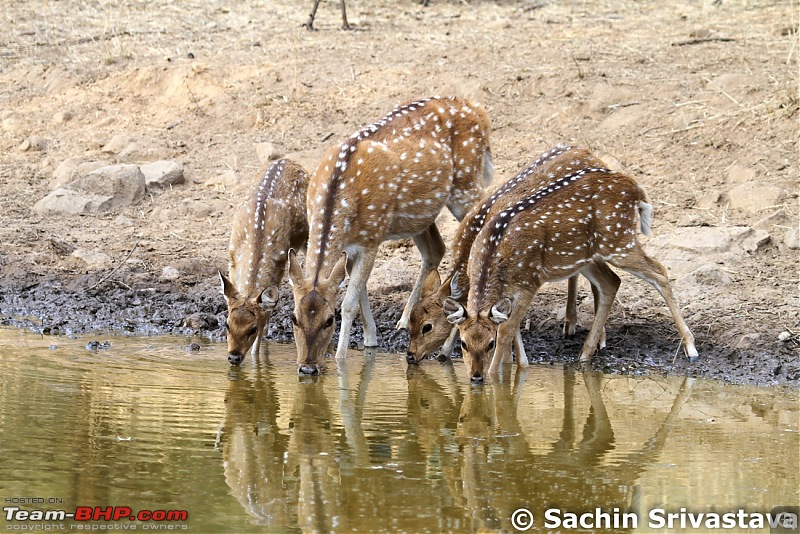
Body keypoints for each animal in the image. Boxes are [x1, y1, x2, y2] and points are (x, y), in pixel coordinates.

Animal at [220, 160, 310, 368]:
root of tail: (289, 161)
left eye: (252, 329)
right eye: (227, 324)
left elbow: (267, 313)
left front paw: (257, 359)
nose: (233, 357)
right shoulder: (232, 259)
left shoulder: (279, 266)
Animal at [284, 96, 490, 376]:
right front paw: (371, 339)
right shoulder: (354, 245)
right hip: (419, 215)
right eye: (293, 317)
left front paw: (340, 360)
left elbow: (350, 302)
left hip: (466, 186)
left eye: (329, 319)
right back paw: (404, 320)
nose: (307, 368)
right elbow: (358, 289)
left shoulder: (371, 238)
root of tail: (479, 111)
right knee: (436, 248)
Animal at [406, 147, 612, 368]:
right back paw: (570, 324)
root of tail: (590, 154)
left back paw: (600, 340)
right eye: (410, 321)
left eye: (427, 326)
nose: (410, 355)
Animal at [444, 147, 700, 386]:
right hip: (587, 255)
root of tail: (636, 189)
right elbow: (513, 328)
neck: (492, 257)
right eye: (464, 343)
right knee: (612, 282)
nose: (475, 377)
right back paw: (585, 354)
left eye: (489, 344)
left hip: (618, 242)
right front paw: (520, 367)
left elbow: (506, 331)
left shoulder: (530, 282)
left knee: (659, 271)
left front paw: (495, 378)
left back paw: (691, 349)